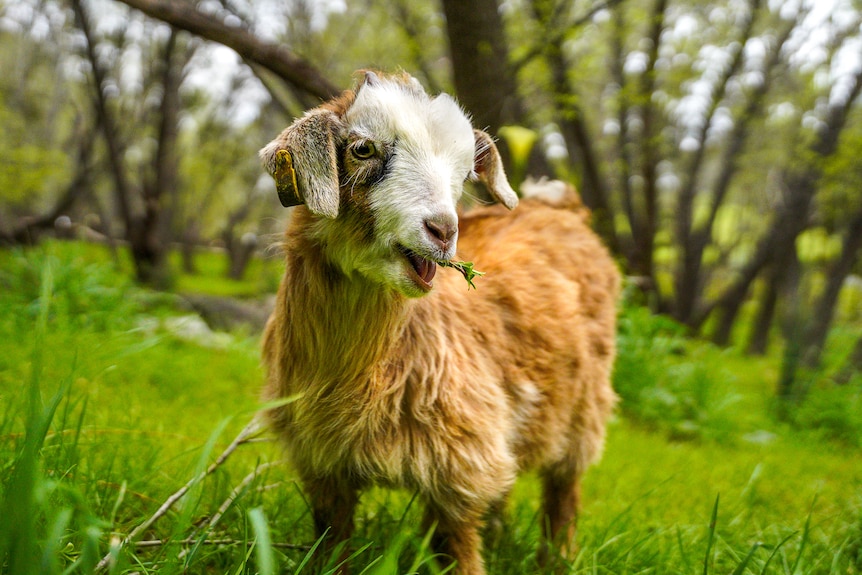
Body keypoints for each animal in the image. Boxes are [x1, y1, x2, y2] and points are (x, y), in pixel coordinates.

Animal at [258, 70, 620, 572]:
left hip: (583, 408)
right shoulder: (325, 466)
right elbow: (332, 542)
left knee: (563, 490)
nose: (444, 231)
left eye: (466, 172)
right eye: (362, 149)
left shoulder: (462, 465)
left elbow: (458, 546)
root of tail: (558, 206)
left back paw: (556, 559)